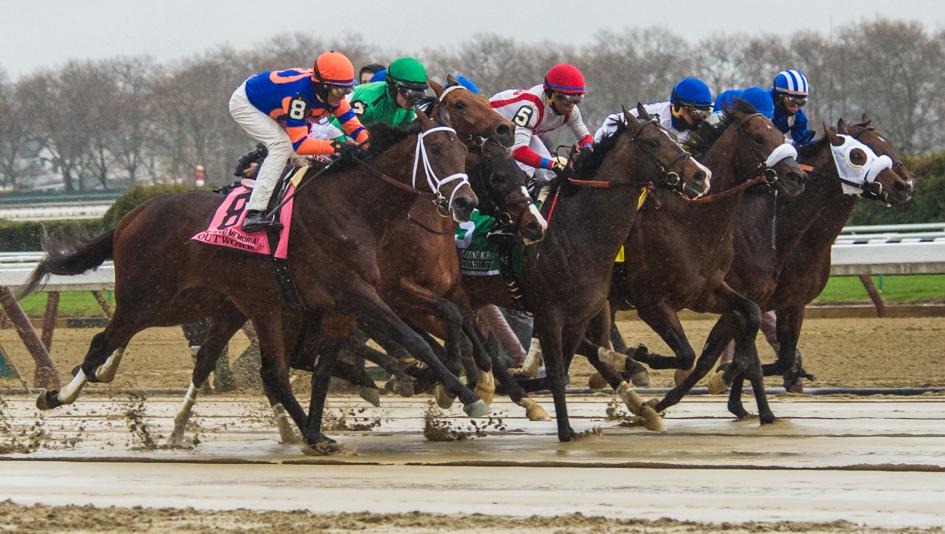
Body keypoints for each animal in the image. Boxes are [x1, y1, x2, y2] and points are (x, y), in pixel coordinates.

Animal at [24, 109, 486, 448]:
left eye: (464, 150)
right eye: (437, 150)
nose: (466, 202)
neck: (349, 207)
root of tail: (128, 218)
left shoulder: (339, 305)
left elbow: (322, 367)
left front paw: (317, 428)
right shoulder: (357, 293)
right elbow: (414, 341)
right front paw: (464, 394)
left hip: (219, 304)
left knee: (254, 368)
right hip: (150, 300)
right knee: (102, 343)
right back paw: (56, 396)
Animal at [460, 105, 712, 444]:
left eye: (673, 137)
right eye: (654, 142)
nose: (701, 175)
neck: (573, 233)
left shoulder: (581, 314)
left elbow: (570, 365)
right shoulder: (551, 313)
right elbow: (558, 372)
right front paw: (566, 430)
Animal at [604, 100, 804, 426]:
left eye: (780, 133)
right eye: (759, 138)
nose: (797, 178)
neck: (689, 221)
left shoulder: (708, 292)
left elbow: (748, 319)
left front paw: (750, 391)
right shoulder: (651, 301)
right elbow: (687, 354)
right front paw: (643, 357)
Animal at [716, 119, 916, 416]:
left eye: (887, 144)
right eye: (860, 154)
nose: (905, 185)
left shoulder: (793, 302)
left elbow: (783, 359)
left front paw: (738, 396)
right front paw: (726, 380)